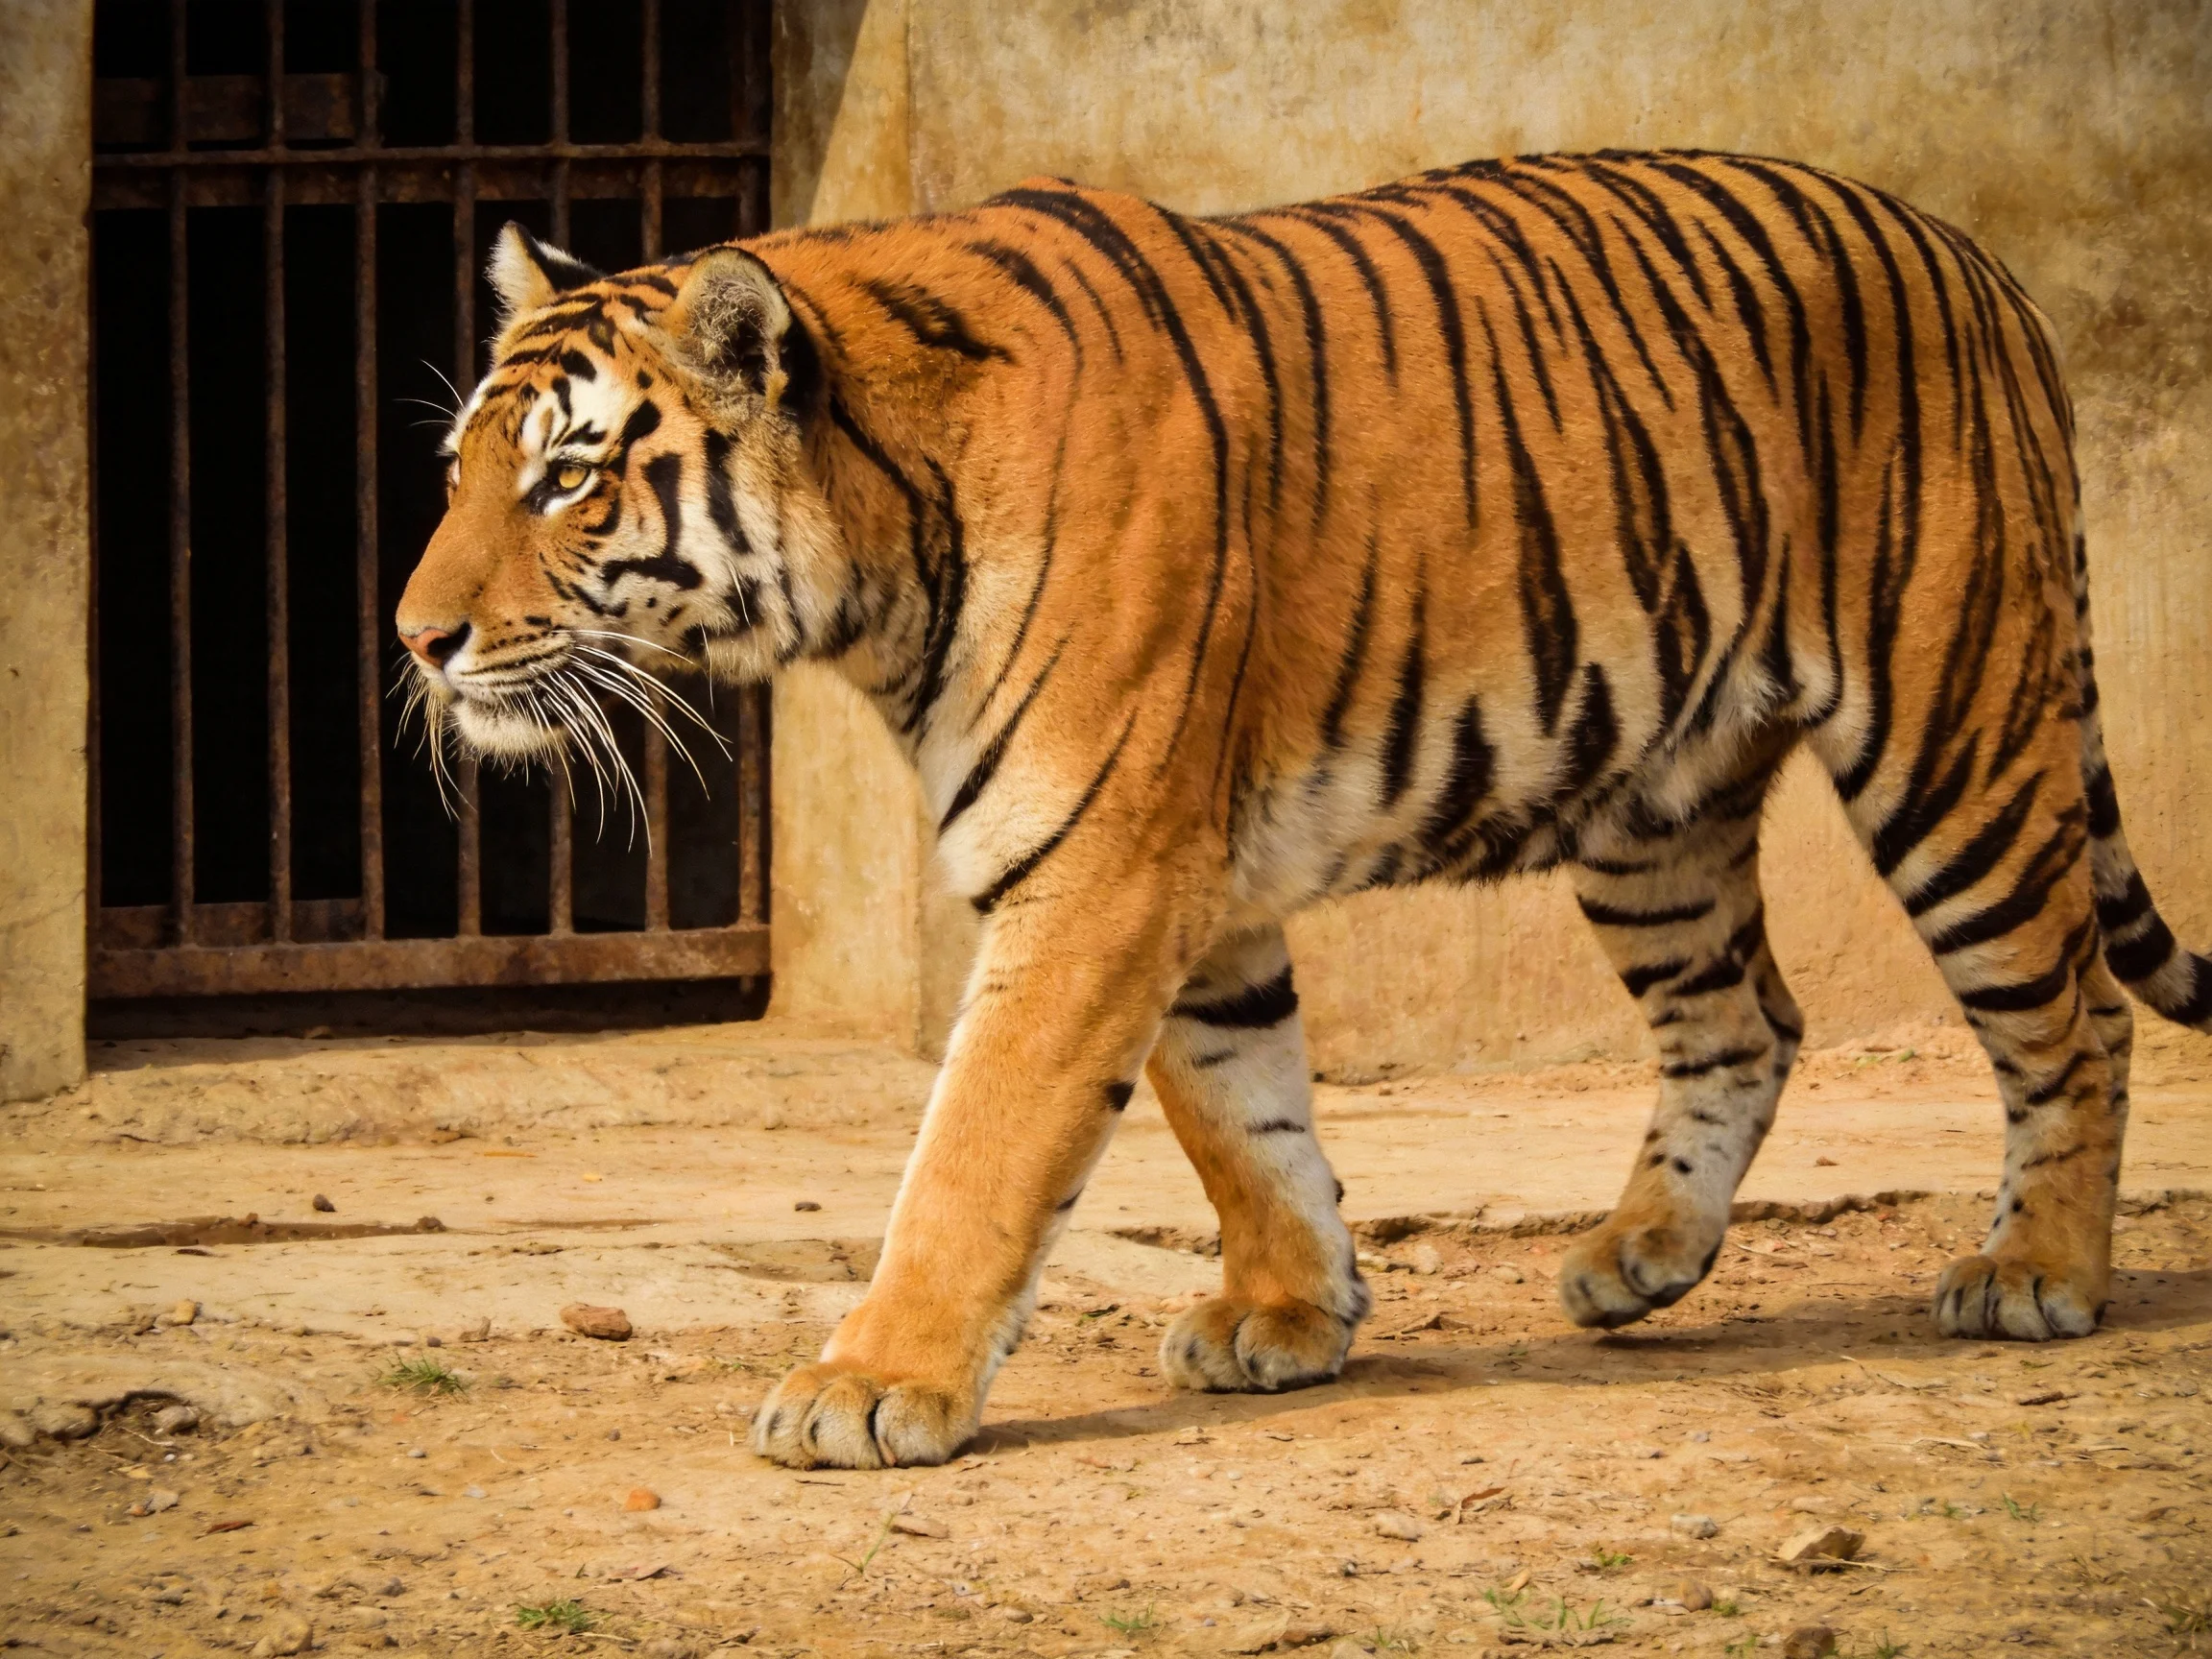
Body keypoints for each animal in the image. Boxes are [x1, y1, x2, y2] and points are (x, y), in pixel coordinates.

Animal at [397, 149, 2211, 1471]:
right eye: (458, 471)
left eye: (565, 478)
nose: (413, 637)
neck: (878, 557)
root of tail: (1977, 259)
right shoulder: (1182, 878)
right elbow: (1240, 1109)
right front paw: (1289, 1314)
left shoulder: (1100, 869)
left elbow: (978, 1150)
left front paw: (862, 1385)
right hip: (1655, 802)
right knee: (1742, 1018)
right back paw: (1638, 1255)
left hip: (1954, 738)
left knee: (2071, 1014)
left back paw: (2035, 1273)